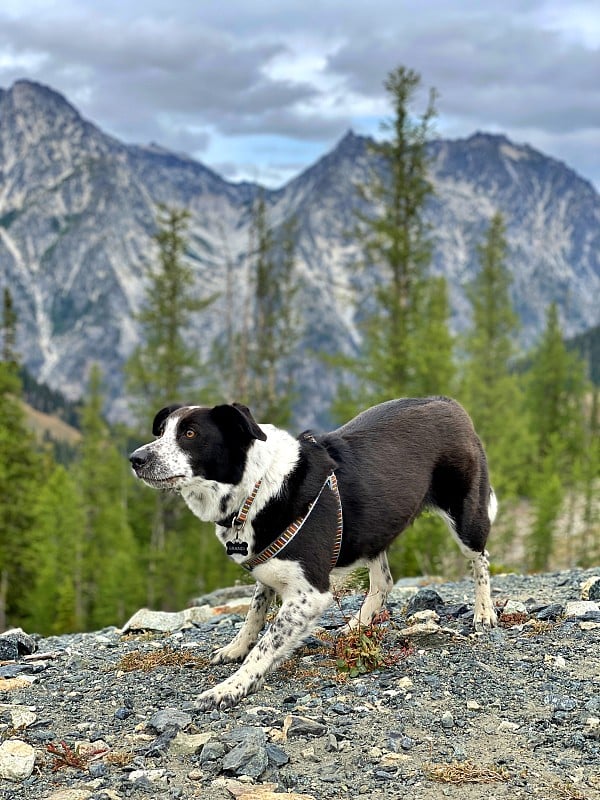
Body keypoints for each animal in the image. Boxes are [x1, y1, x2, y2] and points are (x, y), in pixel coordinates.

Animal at [127, 396, 496, 708]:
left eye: (190, 433)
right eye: (161, 431)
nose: (135, 458)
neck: (257, 487)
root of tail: (447, 402)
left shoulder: (310, 593)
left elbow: (267, 644)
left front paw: (232, 686)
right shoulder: (269, 567)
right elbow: (255, 612)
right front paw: (236, 648)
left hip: (466, 517)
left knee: (480, 559)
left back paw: (484, 612)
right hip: (373, 529)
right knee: (384, 581)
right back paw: (358, 624)